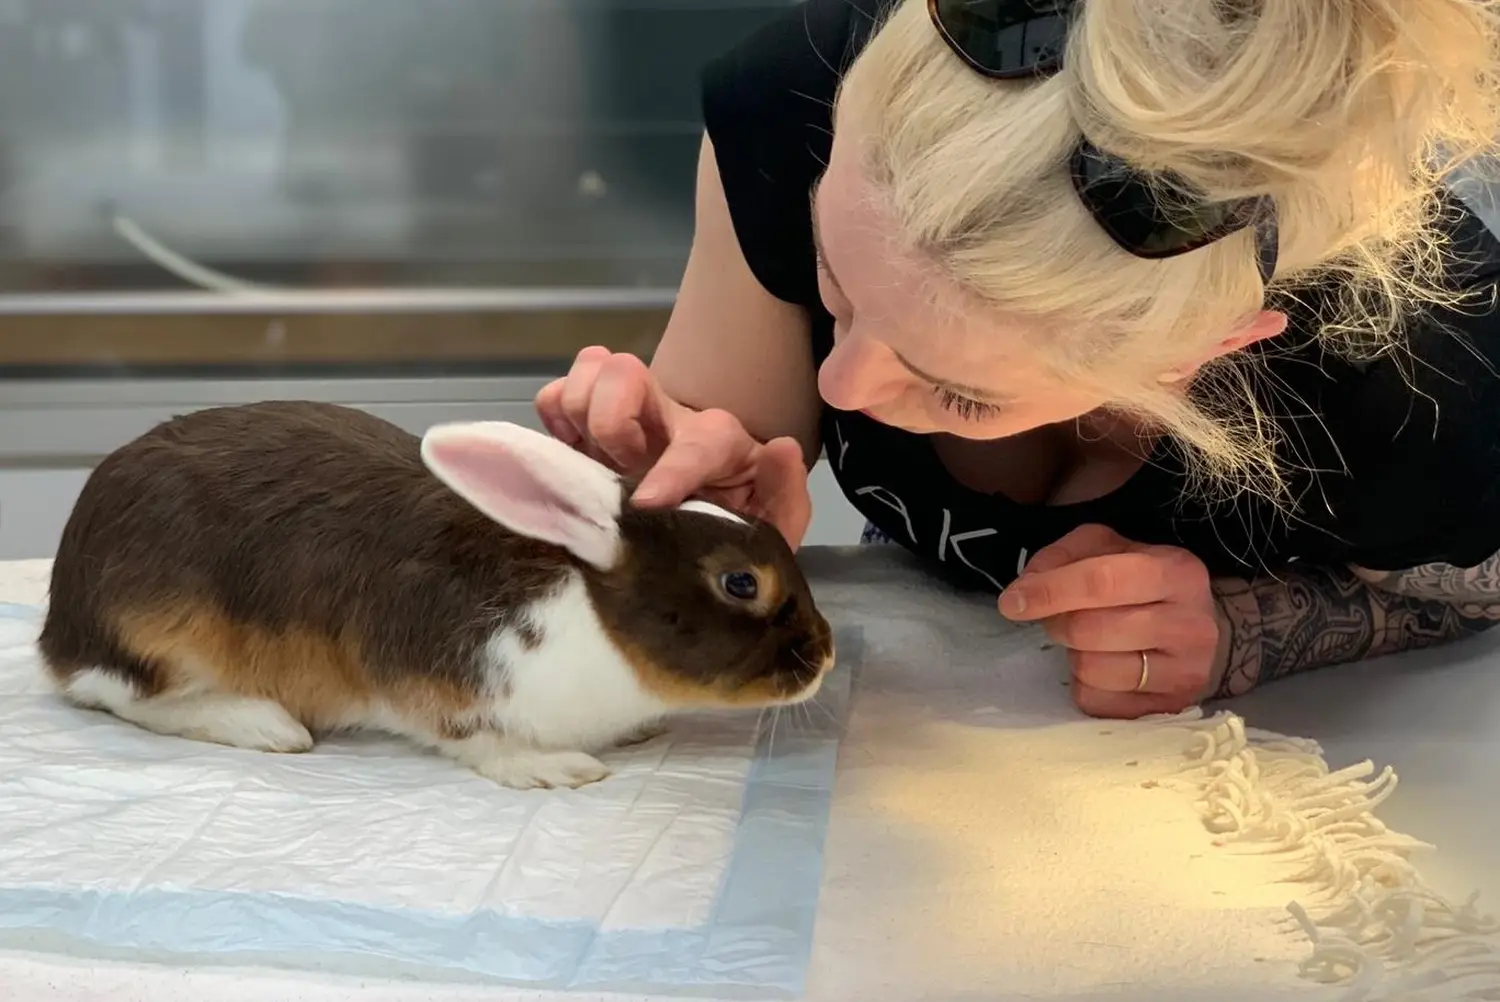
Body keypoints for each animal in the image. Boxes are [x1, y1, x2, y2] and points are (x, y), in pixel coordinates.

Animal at [35, 399, 840, 792]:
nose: (825, 654)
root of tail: (58, 628)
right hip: (164, 634)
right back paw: (263, 723)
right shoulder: (435, 683)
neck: (588, 617)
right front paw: (550, 768)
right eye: (741, 582)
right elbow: (474, 739)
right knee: (125, 696)